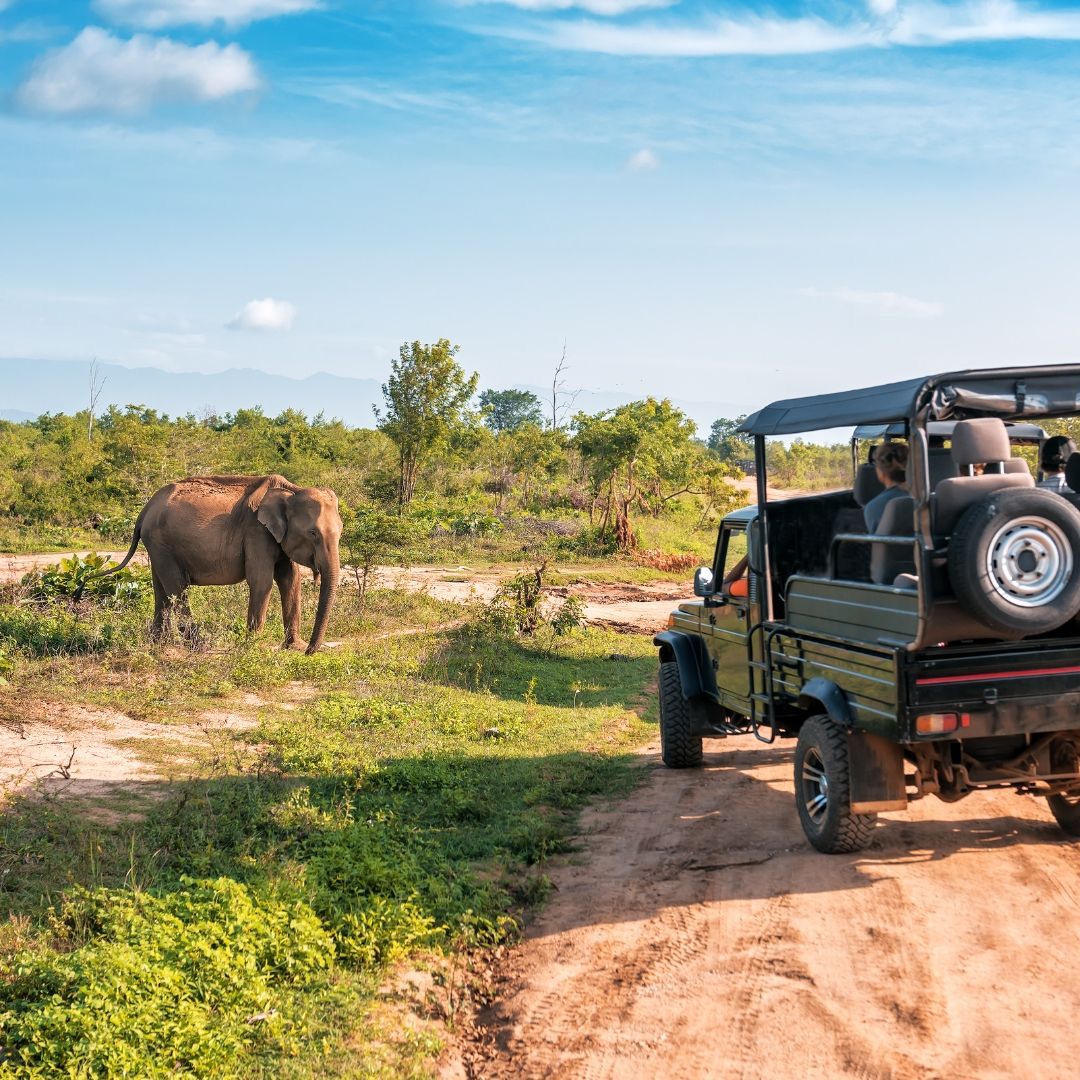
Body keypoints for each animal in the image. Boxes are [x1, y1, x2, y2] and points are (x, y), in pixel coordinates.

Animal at [96, 474, 342, 654]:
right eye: (313, 533)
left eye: (341, 531)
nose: (309, 651)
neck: (291, 490)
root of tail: (145, 509)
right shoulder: (256, 532)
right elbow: (261, 581)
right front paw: (252, 647)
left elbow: (290, 579)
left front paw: (293, 647)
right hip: (161, 543)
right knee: (177, 587)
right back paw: (198, 645)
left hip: (156, 546)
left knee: (161, 590)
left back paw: (159, 644)